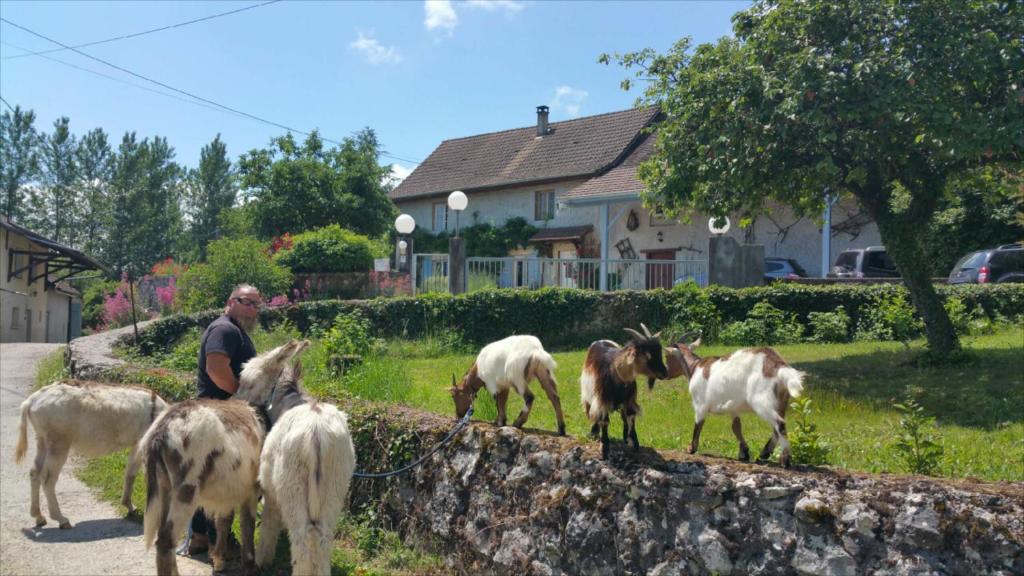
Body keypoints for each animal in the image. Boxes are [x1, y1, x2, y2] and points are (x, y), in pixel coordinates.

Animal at [14, 379, 167, 528]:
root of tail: (32, 399)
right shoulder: (142, 445)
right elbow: (144, 476)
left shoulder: (137, 446)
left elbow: (130, 474)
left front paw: (129, 506)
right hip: (59, 443)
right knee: (47, 478)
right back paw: (61, 519)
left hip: (42, 441)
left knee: (35, 473)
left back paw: (38, 516)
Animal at [142, 338, 305, 569]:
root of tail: (161, 430)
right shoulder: (251, 490)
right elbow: (247, 526)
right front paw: (249, 564)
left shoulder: (229, 487)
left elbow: (224, 520)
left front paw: (219, 559)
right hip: (186, 490)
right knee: (166, 541)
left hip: (162, 487)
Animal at [234, 338, 358, 569]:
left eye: (247, 382)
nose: (235, 401)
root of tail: (316, 432)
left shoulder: (272, 494)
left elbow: (269, 524)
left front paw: (263, 560)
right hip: (335, 487)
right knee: (322, 537)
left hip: (293, 487)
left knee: (303, 538)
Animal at [581, 323, 667, 457]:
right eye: (648, 355)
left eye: (659, 352)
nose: (665, 373)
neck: (616, 373)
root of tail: (601, 340)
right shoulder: (602, 399)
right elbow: (604, 421)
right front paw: (604, 447)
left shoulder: (629, 400)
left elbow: (630, 417)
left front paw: (633, 441)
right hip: (588, 396)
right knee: (593, 413)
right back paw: (593, 432)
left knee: (623, 416)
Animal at [671, 336, 806, 467]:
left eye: (668, 355)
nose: (666, 373)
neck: (695, 367)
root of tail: (779, 367)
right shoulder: (733, 409)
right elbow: (736, 427)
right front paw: (744, 453)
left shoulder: (700, 405)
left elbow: (698, 425)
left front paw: (691, 448)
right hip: (781, 402)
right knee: (777, 427)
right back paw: (764, 453)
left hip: (763, 401)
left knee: (780, 424)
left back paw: (785, 459)